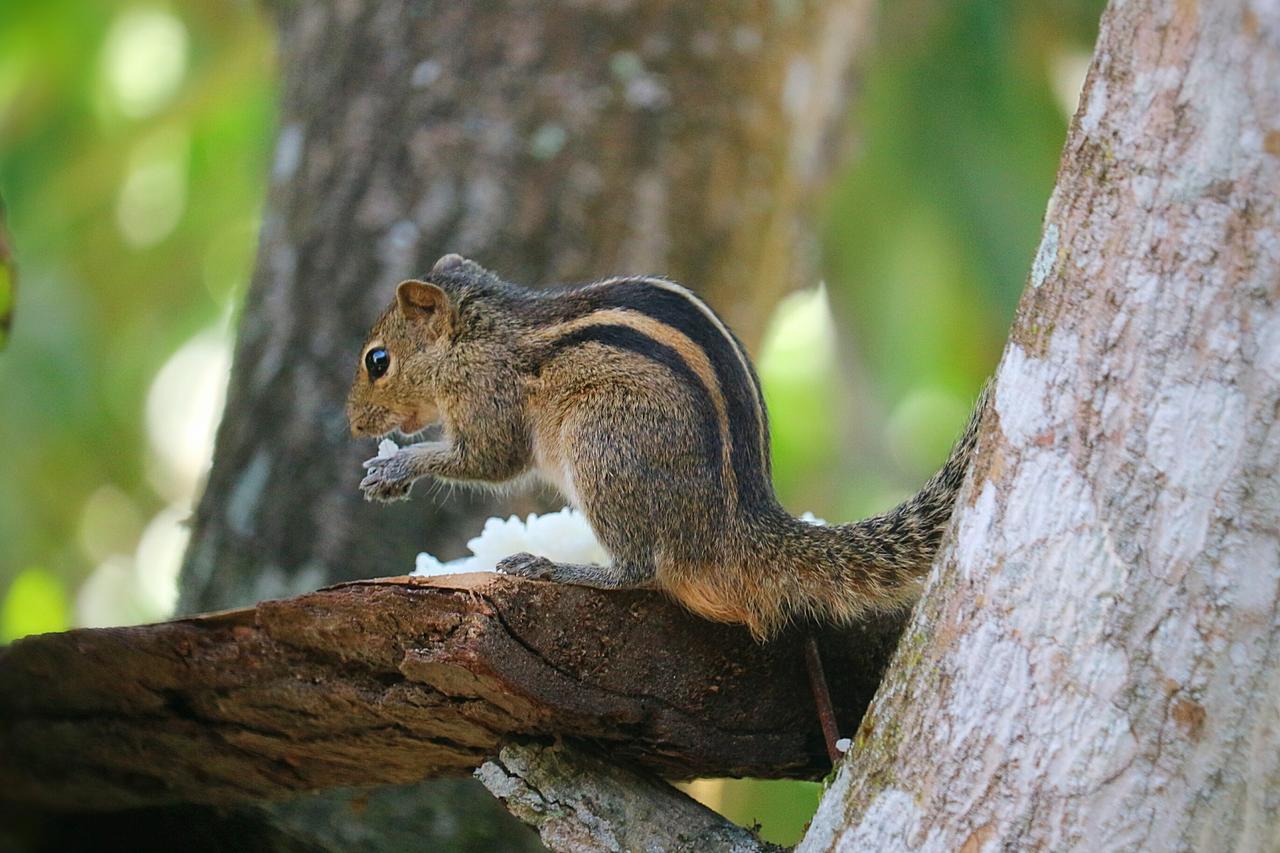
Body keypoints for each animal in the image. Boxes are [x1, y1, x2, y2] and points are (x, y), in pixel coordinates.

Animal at [348, 252, 988, 637]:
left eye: (377, 361)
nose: (354, 424)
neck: (478, 333)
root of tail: (736, 525)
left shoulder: (488, 398)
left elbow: (490, 461)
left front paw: (395, 467)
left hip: (603, 447)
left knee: (638, 570)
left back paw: (555, 568)